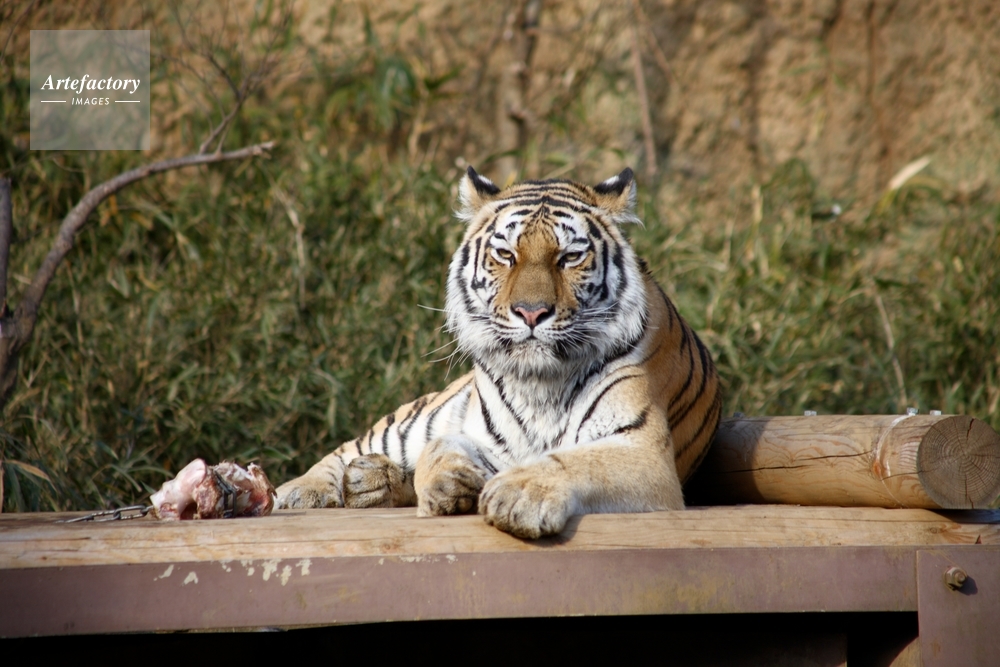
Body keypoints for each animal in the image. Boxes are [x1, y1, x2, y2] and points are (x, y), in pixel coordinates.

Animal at [276, 167, 722, 538]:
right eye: (506, 255)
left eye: (569, 257)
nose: (531, 312)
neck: (541, 382)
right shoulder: (484, 437)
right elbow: (441, 446)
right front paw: (448, 483)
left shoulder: (644, 451)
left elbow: (575, 460)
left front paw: (518, 494)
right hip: (412, 421)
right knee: (351, 448)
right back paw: (300, 491)